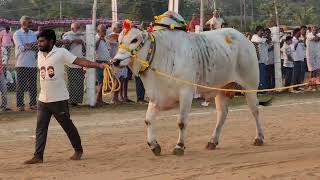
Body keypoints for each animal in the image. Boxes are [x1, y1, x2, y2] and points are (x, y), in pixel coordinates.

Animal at [114, 26, 264, 155]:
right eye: (119, 41)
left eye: (134, 40)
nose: (115, 61)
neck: (162, 56)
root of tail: (245, 39)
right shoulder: (156, 96)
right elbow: (148, 120)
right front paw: (154, 145)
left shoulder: (186, 93)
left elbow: (181, 122)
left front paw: (179, 146)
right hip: (221, 89)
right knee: (222, 114)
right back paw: (212, 141)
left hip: (250, 86)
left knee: (255, 110)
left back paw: (259, 138)